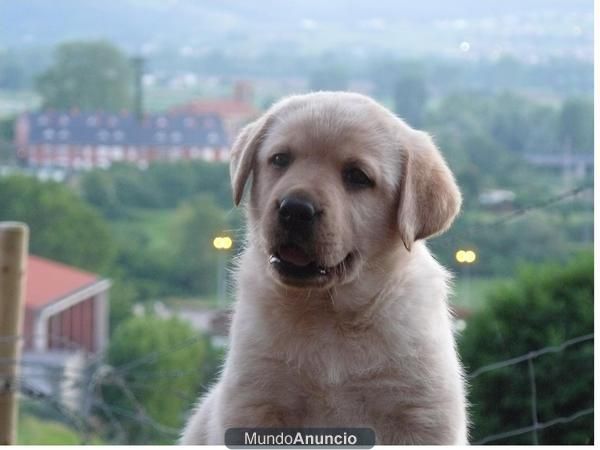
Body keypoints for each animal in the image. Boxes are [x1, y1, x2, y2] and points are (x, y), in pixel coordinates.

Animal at [180, 92, 466, 446]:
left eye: (357, 176)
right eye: (280, 159)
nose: (294, 210)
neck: (330, 314)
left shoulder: (420, 416)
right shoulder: (255, 403)